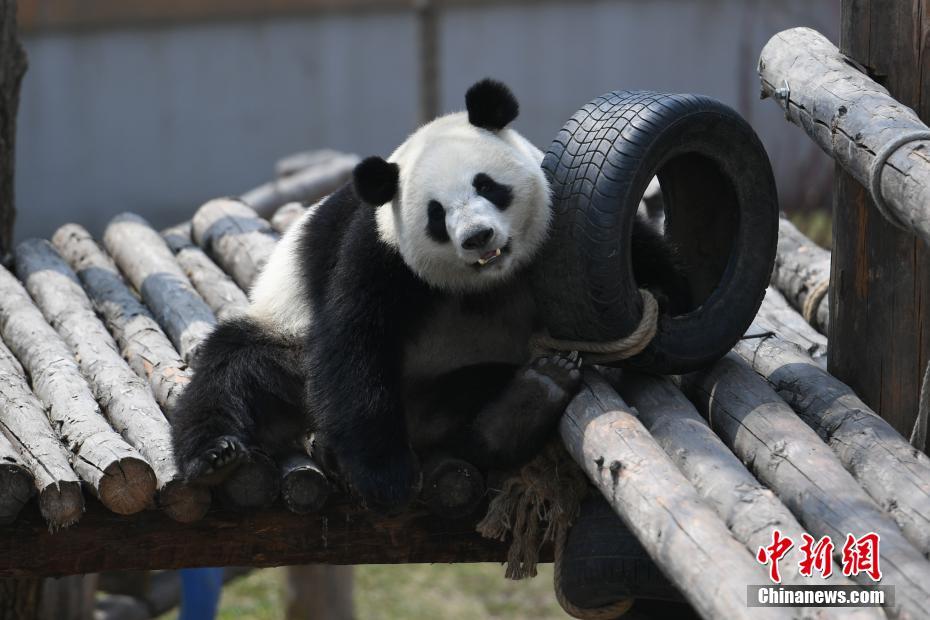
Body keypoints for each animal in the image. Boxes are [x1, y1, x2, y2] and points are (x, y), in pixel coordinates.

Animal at [170, 77, 684, 512]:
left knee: (473, 396)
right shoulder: (380, 254)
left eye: (487, 185)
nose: (477, 237)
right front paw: (385, 478)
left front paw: (668, 301)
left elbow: (642, 255)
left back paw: (526, 401)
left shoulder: (568, 218)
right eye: (436, 214)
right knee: (234, 368)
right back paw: (217, 455)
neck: (487, 282)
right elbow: (354, 342)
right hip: (292, 354)